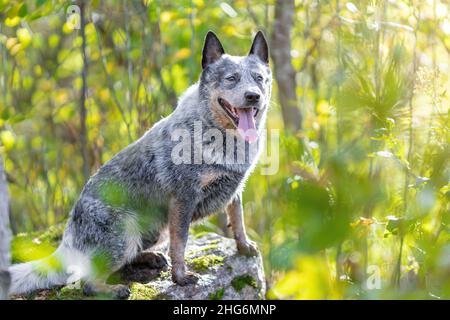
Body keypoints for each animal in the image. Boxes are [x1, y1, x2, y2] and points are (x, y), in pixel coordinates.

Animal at [8, 31, 272, 298]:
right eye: (231, 78)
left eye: (259, 78)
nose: (253, 96)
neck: (221, 137)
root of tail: (68, 236)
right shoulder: (183, 198)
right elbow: (180, 243)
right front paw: (180, 277)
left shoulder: (234, 188)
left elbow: (238, 219)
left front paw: (244, 246)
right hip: (124, 236)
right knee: (88, 282)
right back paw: (115, 289)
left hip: (155, 230)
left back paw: (150, 258)